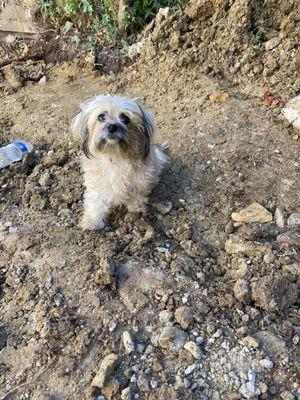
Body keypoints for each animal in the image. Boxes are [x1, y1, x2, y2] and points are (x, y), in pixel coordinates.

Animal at [71, 94, 168, 231]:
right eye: (101, 117)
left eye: (125, 119)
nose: (112, 126)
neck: (115, 156)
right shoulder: (96, 183)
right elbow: (96, 201)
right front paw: (92, 221)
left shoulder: (141, 180)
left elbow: (137, 194)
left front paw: (136, 207)